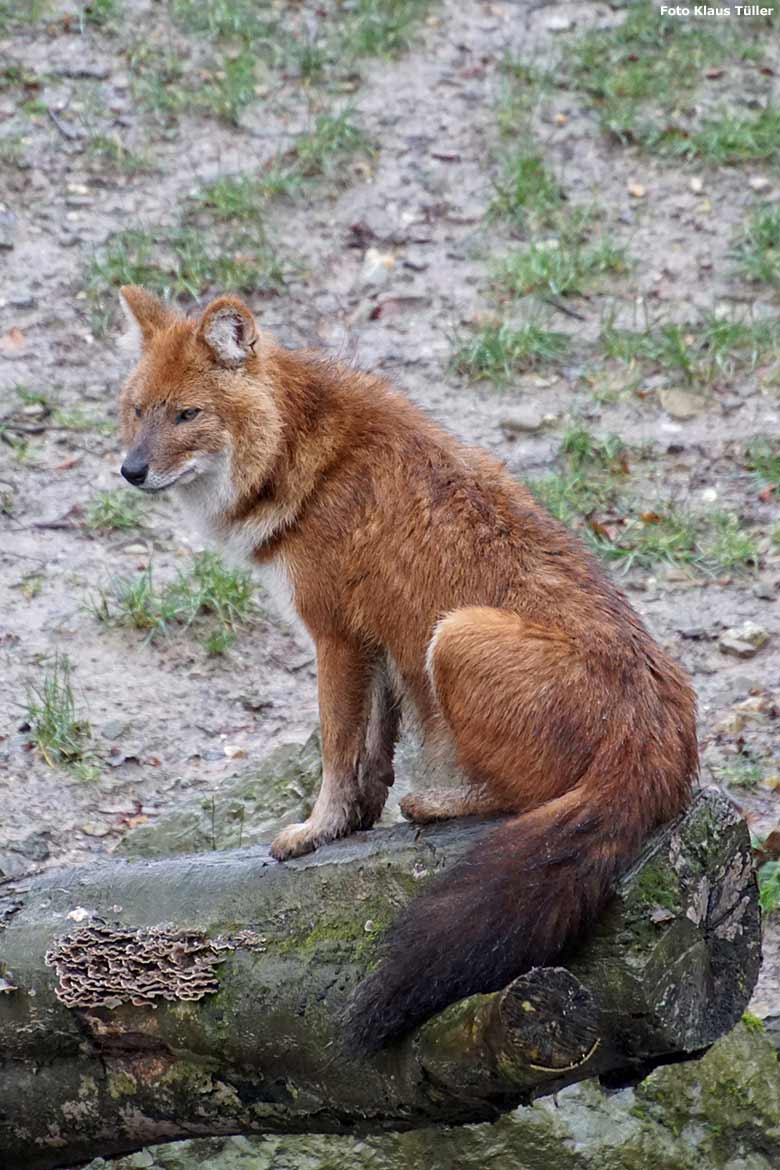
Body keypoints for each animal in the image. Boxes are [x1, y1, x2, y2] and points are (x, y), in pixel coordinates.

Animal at [119, 290, 696, 1053]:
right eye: (136, 410)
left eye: (187, 414)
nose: (130, 471)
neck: (304, 454)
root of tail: (664, 740)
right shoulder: (380, 646)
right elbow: (373, 750)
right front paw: (358, 822)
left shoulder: (335, 635)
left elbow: (336, 748)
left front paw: (315, 832)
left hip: (456, 634)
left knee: (532, 799)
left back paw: (438, 803)